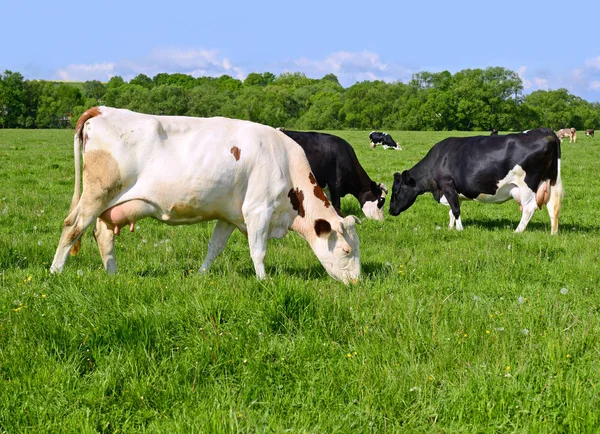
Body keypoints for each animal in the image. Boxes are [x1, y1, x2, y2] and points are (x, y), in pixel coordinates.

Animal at [50, 107, 360, 284]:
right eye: (346, 250)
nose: (357, 283)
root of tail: (101, 109)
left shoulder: (229, 216)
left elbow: (214, 248)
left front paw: (201, 274)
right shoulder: (258, 211)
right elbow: (258, 251)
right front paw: (263, 281)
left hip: (111, 204)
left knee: (102, 235)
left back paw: (113, 276)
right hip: (97, 194)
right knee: (72, 227)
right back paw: (55, 272)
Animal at [390, 128, 564, 234]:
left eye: (396, 190)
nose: (391, 211)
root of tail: (544, 131)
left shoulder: (447, 184)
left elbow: (455, 209)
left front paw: (459, 230)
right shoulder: (453, 191)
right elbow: (452, 210)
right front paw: (450, 228)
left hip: (527, 185)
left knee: (529, 208)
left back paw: (517, 231)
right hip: (551, 182)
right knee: (553, 207)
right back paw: (553, 233)